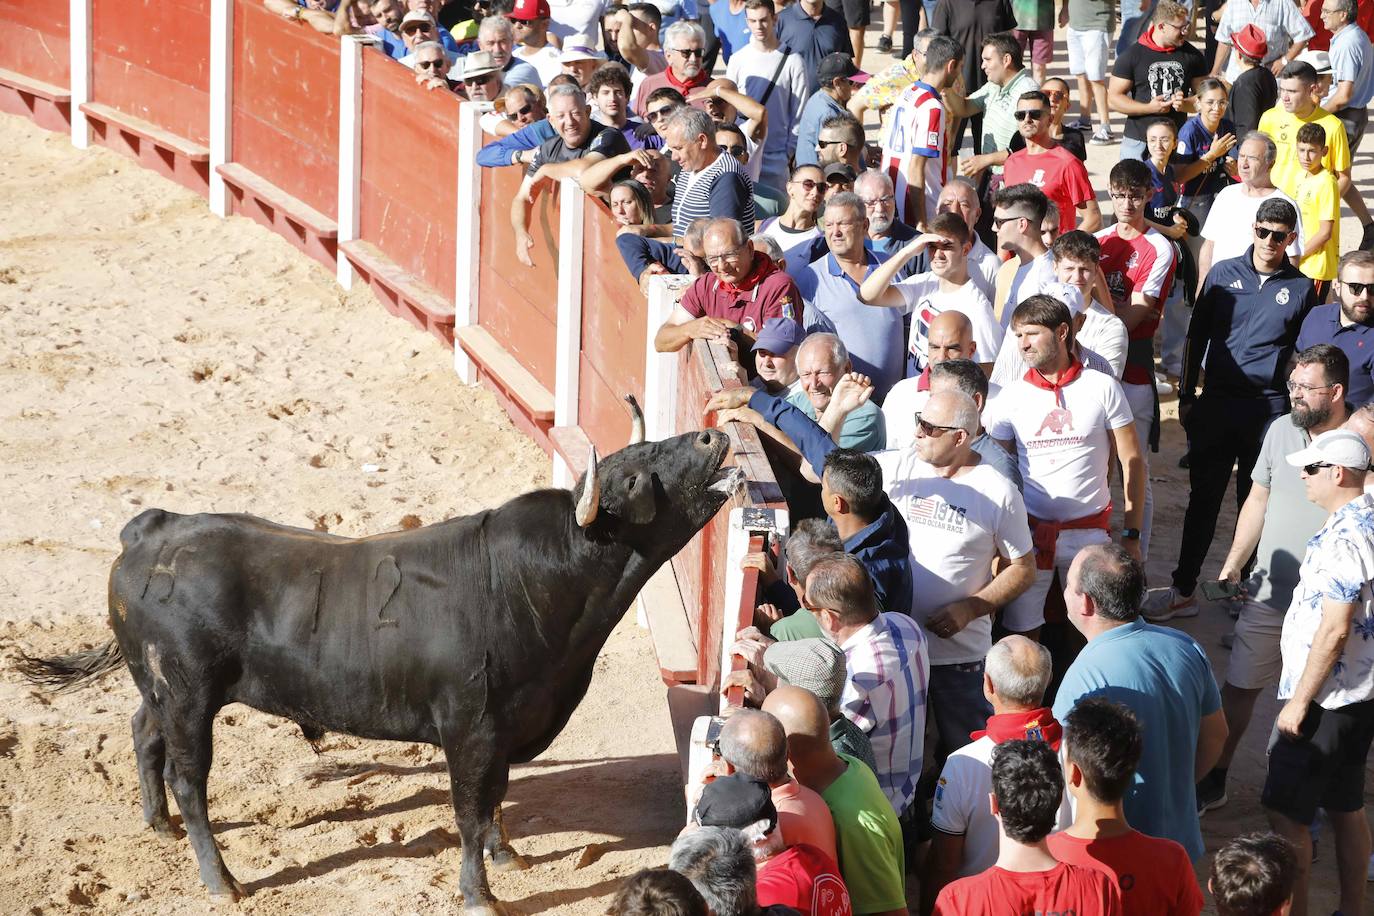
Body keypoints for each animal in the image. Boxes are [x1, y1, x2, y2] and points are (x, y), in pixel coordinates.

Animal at [16, 425, 741, 911]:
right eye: (636, 475)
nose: (713, 434)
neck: (538, 581)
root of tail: (151, 530)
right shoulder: (470, 727)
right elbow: (469, 809)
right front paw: (480, 894)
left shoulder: (504, 726)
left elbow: (496, 798)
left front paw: (509, 856)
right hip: (191, 694)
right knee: (189, 778)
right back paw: (222, 881)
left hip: (163, 689)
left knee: (144, 731)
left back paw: (156, 824)